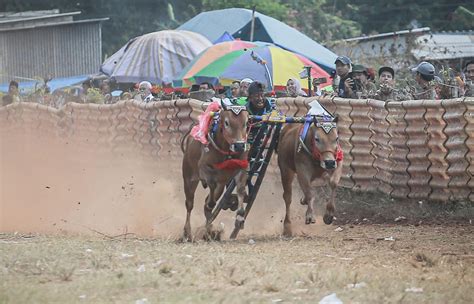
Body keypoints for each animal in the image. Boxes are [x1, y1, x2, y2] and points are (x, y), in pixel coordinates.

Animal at [181, 103, 248, 241]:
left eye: (245, 122)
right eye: (227, 122)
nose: (239, 145)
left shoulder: (241, 169)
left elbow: (241, 190)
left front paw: (240, 218)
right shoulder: (206, 171)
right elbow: (210, 198)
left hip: (220, 185)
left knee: (207, 205)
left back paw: (209, 231)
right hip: (189, 179)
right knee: (190, 205)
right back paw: (187, 233)